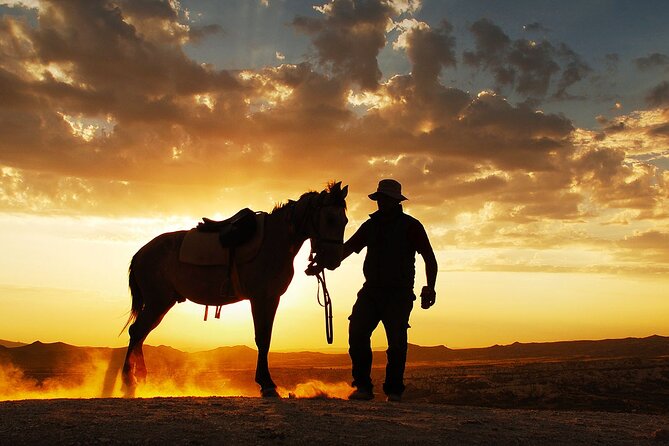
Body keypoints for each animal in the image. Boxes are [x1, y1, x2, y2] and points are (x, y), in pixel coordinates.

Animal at [121, 181, 349, 397]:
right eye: (330, 219)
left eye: (345, 221)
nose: (333, 259)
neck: (274, 241)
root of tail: (141, 253)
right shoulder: (260, 298)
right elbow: (262, 338)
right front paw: (266, 384)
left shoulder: (272, 298)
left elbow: (266, 338)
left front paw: (266, 382)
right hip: (157, 302)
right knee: (137, 331)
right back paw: (128, 381)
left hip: (161, 303)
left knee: (141, 333)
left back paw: (140, 378)